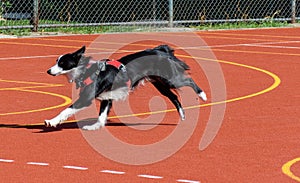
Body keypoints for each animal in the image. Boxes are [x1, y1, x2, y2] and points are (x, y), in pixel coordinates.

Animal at [45, 44, 207, 130]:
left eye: (62, 63)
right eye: (56, 61)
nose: (48, 71)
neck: (86, 70)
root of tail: (160, 50)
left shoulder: (86, 98)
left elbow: (66, 110)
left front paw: (51, 121)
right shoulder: (107, 98)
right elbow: (101, 116)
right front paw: (95, 127)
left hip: (171, 79)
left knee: (189, 80)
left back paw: (202, 95)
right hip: (160, 83)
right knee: (174, 97)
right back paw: (182, 115)